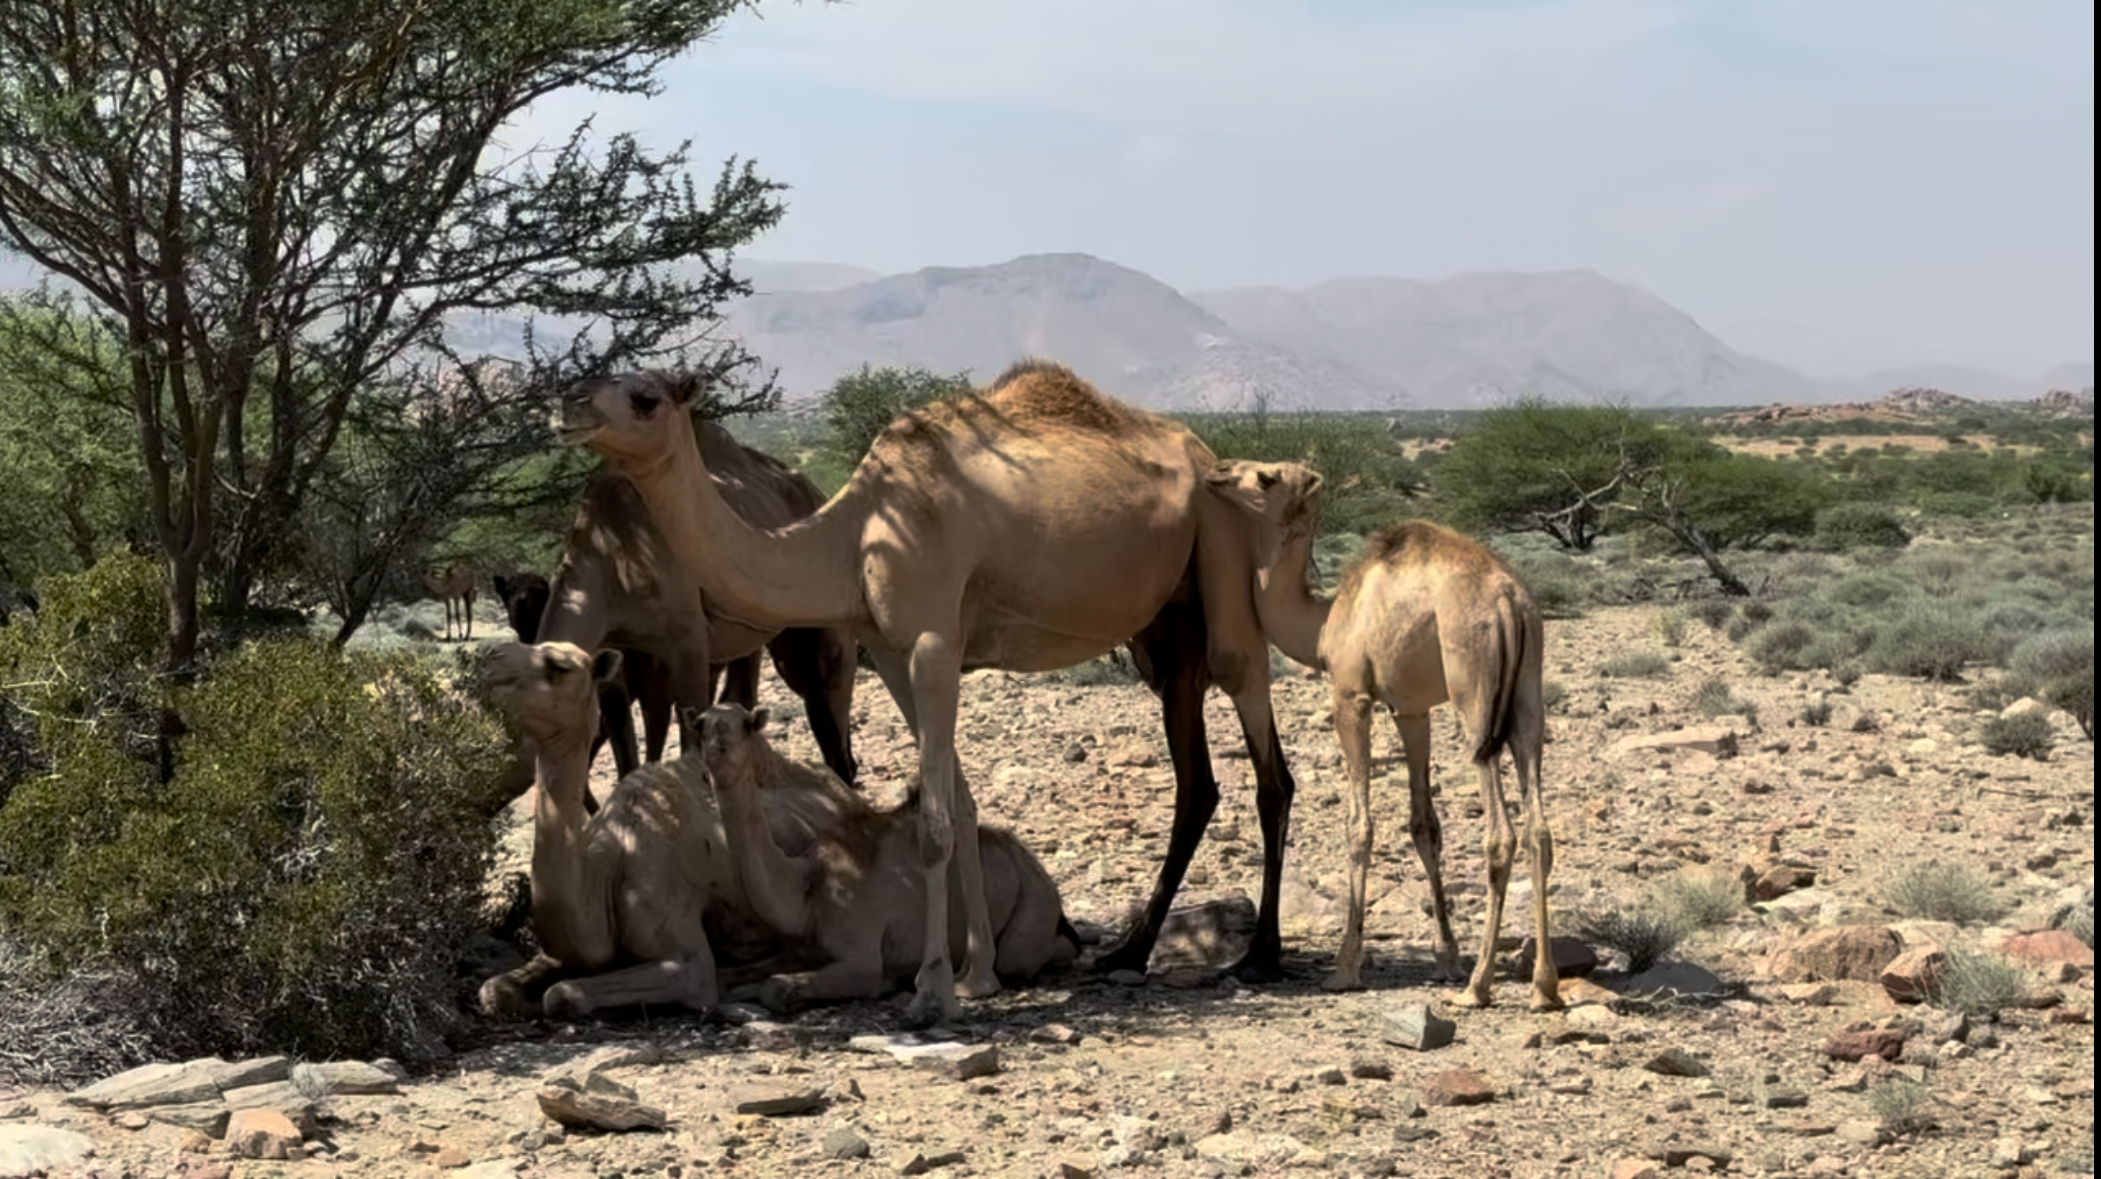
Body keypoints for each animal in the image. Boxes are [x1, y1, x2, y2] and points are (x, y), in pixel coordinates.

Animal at [477, 639, 867, 1019]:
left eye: (558, 666)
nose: (489, 656)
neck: (606, 871)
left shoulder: (680, 943)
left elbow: (563, 994)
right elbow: (494, 989)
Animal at [699, 701, 1079, 1013]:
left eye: (743, 725)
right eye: (700, 723)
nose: (713, 752)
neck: (806, 887)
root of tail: (1036, 868)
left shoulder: (860, 957)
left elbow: (775, 988)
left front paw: (888, 982)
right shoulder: (796, 950)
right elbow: (725, 978)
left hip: (1032, 905)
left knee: (1027, 955)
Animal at [1208, 461, 1562, 1010]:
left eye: (1266, 477)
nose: (1218, 471)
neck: (1323, 621)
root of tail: (1508, 602)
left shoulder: (1351, 694)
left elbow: (1360, 826)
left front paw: (1345, 967)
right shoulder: (1410, 709)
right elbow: (1424, 825)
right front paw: (1444, 958)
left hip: (1473, 694)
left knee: (1500, 832)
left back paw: (1478, 987)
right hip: (1528, 695)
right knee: (1538, 829)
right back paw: (1544, 988)